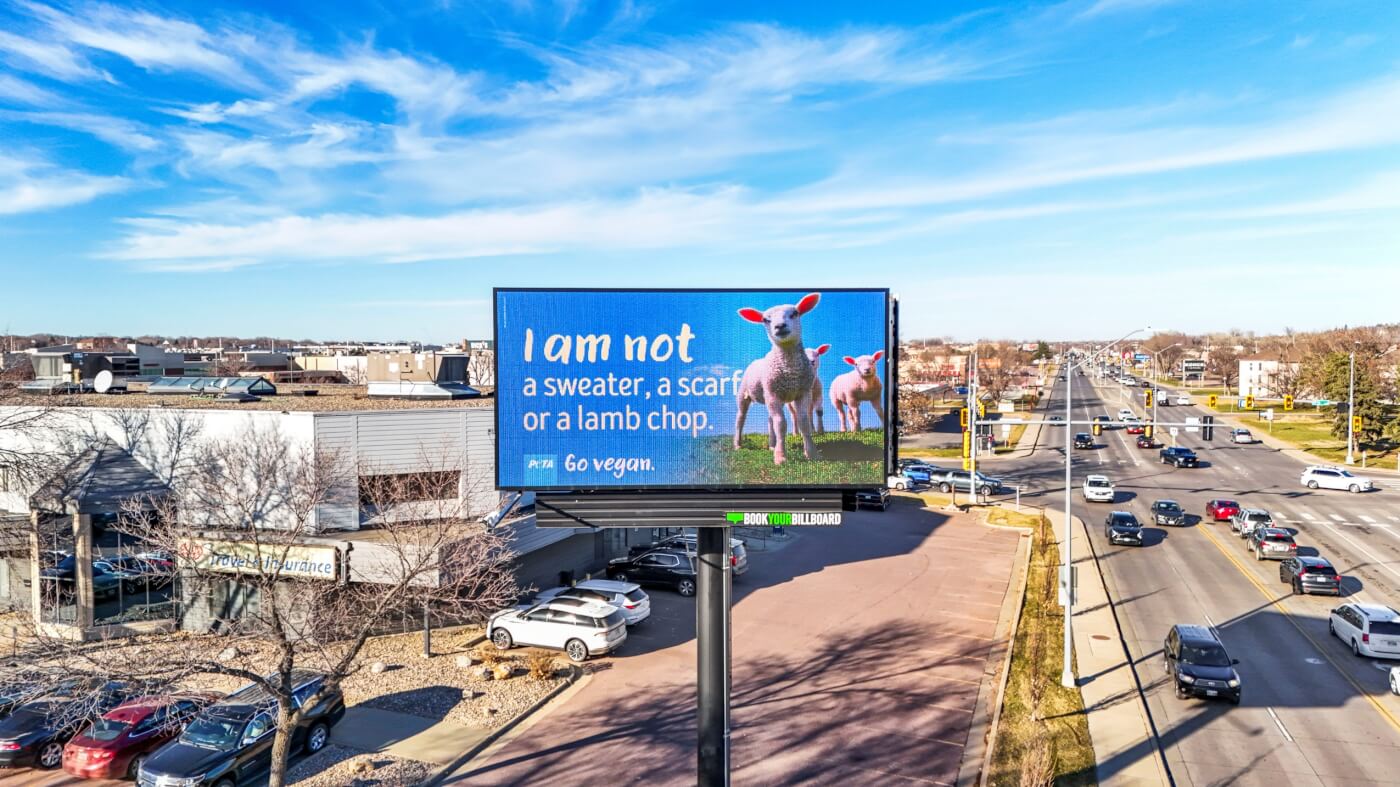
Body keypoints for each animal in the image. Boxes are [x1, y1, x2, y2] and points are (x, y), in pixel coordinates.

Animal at [733, 291, 817, 462]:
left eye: (795, 313)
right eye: (766, 320)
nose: (780, 326)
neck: (790, 371)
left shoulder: (804, 392)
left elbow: (803, 421)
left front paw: (811, 453)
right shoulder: (773, 393)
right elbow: (781, 424)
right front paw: (780, 457)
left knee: (769, 419)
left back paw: (772, 445)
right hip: (745, 393)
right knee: (740, 418)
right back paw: (738, 444)